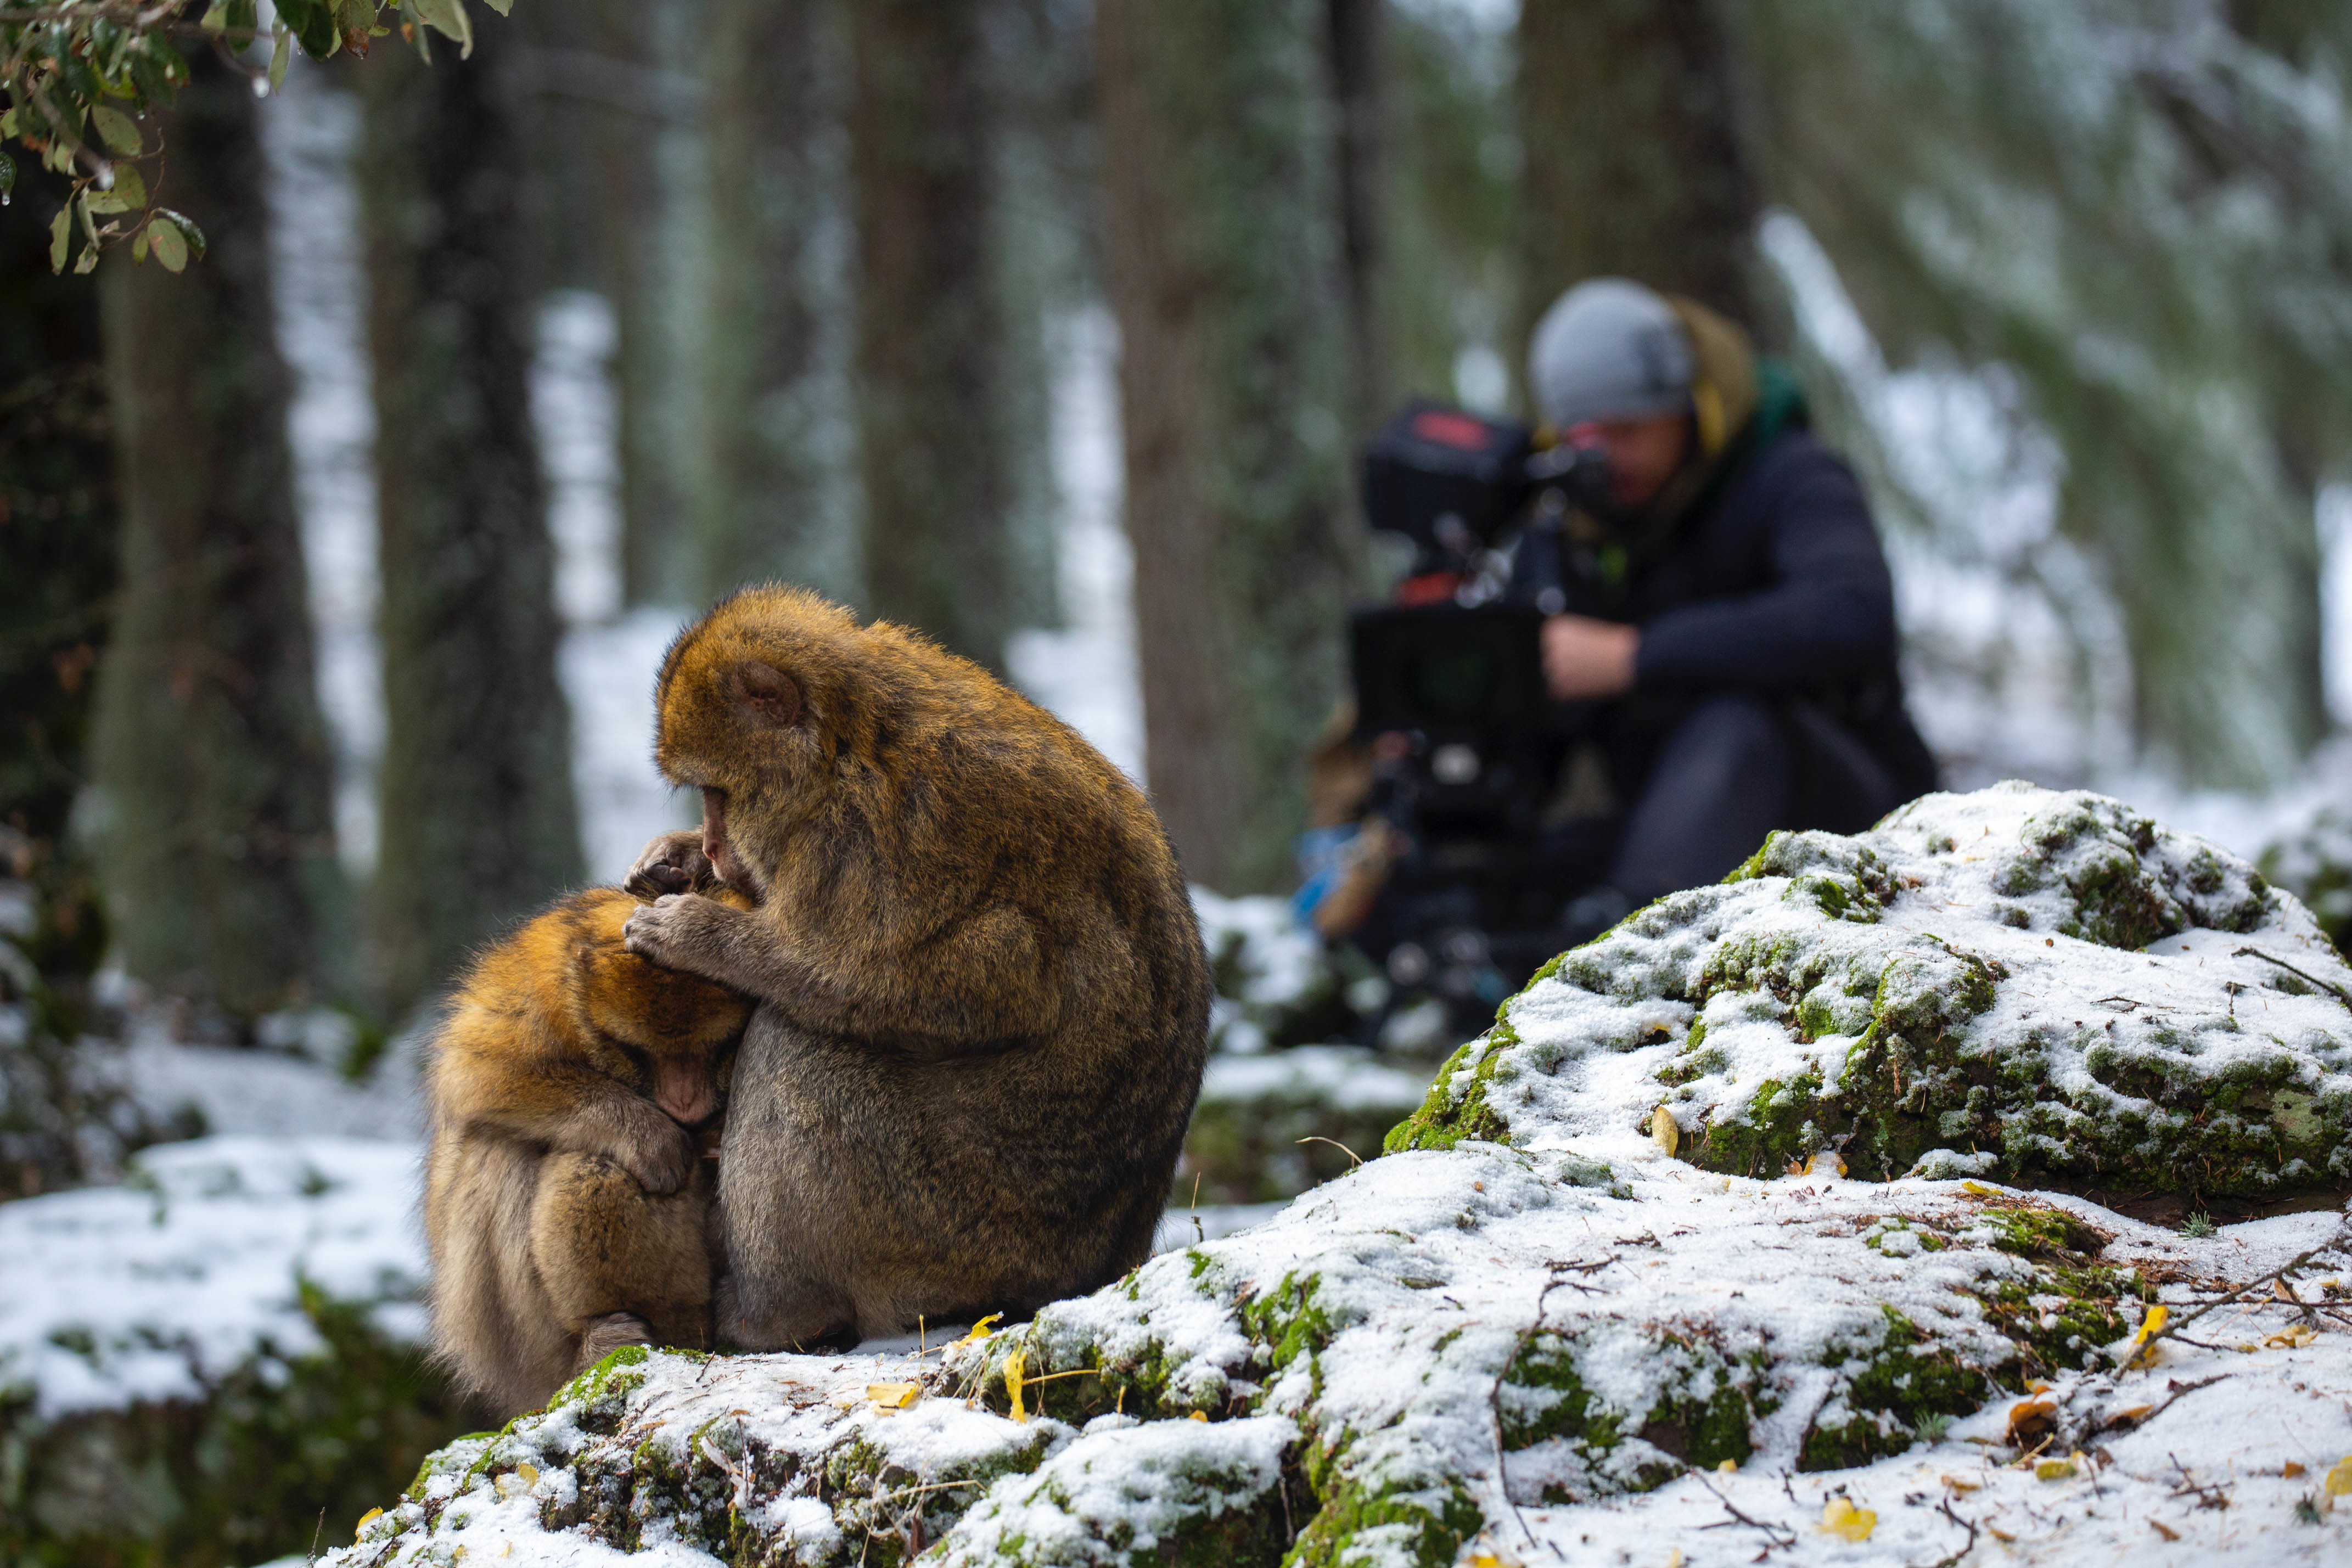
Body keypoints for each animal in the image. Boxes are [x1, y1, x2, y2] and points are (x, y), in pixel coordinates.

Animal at [418, 846, 753, 1420]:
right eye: (642, 1051)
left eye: (718, 1047)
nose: (683, 1102)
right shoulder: (543, 981)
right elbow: (476, 1070)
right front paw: (646, 1135)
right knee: (506, 1148)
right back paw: (596, 1342)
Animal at [625, 585, 1214, 1354]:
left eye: (720, 791)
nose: (721, 849)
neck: (846, 744)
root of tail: (1106, 1263)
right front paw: (678, 857)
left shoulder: (874, 836)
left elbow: (956, 978)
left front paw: (698, 934)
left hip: (959, 1231)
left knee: (800, 1046)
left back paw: (773, 1314)